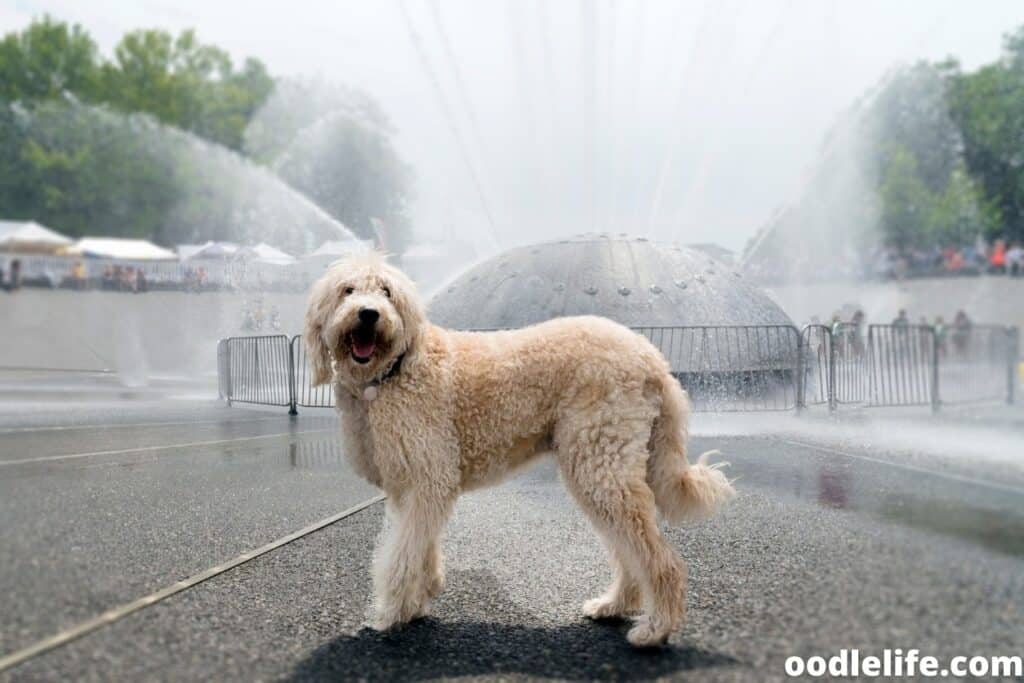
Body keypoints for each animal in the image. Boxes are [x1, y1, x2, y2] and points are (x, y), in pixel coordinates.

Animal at [303, 252, 737, 647]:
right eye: (347, 290)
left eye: (387, 291)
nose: (369, 314)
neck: (394, 371)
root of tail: (655, 360)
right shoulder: (410, 487)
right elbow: (418, 546)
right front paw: (420, 596)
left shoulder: (429, 477)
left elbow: (399, 555)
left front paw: (391, 611)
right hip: (603, 467)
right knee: (628, 546)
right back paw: (614, 605)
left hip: (600, 460)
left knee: (655, 556)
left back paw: (656, 628)